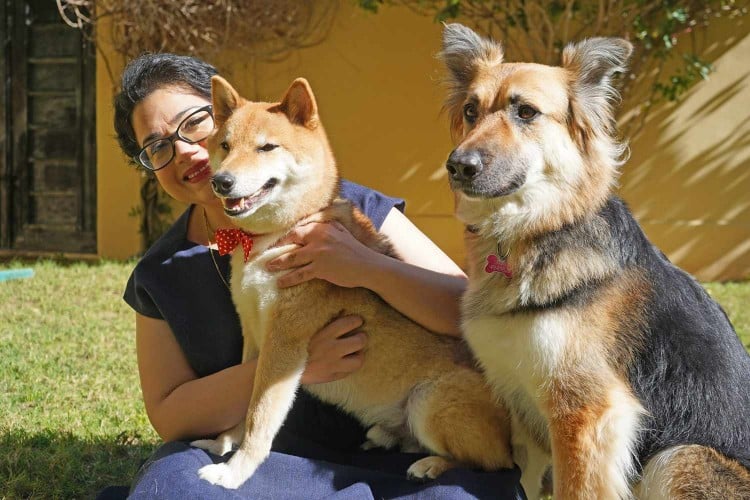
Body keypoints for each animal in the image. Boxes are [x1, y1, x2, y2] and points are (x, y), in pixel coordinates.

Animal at [191, 76, 516, 490]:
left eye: (266, 147)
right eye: (225, 145)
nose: (221, 181)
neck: (277, 235)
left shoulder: (284, 344)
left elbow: (258, 416)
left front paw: (235, 472)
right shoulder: (252, 333)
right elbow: (241, 401)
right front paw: (222, 443)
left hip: (429, 401)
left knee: (490, 464)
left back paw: (431, 464)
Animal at [440, 21, 750, 498]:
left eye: (526, 112)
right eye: (471, 111)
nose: (457, 166)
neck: (536, 230)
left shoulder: (585, 410)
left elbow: (577, 487)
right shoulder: (521, 403)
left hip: (677, 457)